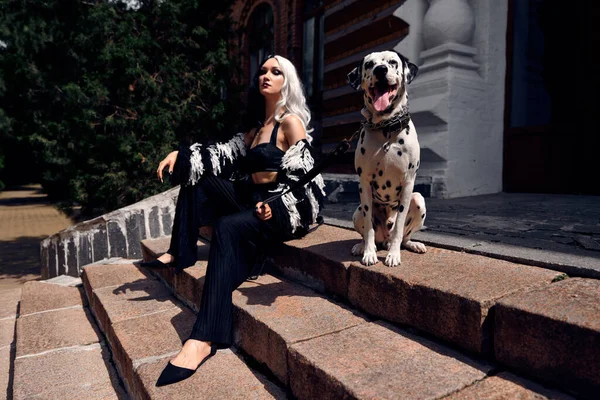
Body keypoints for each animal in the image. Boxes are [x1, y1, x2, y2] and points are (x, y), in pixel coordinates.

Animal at [346, 50, 426, 268]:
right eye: (369, 64)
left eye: (392, 62)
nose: (380, 70)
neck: (386, 128)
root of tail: (385, 240)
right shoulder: (364, 184)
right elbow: (368, 228)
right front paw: (368, 253)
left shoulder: (408, 184)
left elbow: (399, 226)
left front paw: (393, 255)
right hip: (357, 212)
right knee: (368, 232)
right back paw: (362, 246)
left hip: (418, 200)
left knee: (403, 237)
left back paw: (410, 245)